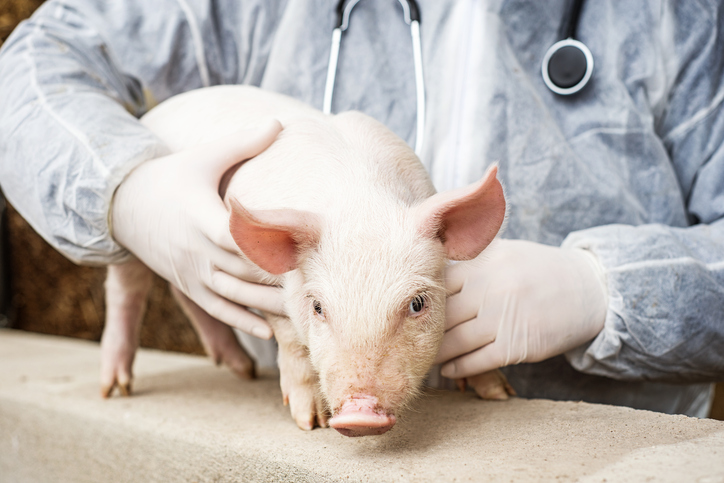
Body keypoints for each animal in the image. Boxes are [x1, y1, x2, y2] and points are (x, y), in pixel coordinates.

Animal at [100, 85, 516, 436]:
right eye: (317, 307)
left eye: (417, 304)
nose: (359, 415)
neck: (360, 200)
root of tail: (156, 110)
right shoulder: (267, 284)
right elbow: (291, 340)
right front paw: (309, 423)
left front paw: (498, 394)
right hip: (133, 236)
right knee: (126, 291)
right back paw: (114, 389)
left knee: (189, 296)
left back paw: (242, 370)